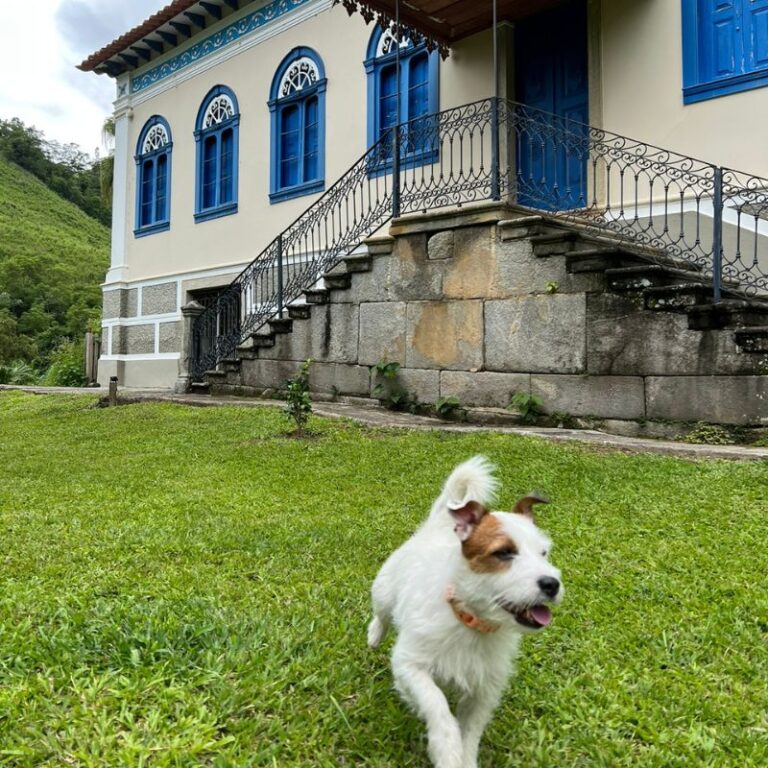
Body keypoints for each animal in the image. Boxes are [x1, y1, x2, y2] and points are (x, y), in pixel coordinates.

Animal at [366, 456, 564, 768]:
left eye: (544, 553)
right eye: (504, 553)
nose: (552, 583)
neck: (471, 621)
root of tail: (438, 525)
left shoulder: (483, 692)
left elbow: (471, 730)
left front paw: (465, 756)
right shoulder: (410, 665)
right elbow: (436, 702)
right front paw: (446, 748)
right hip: (384, 589)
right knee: (382, 614)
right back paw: (374, 634)